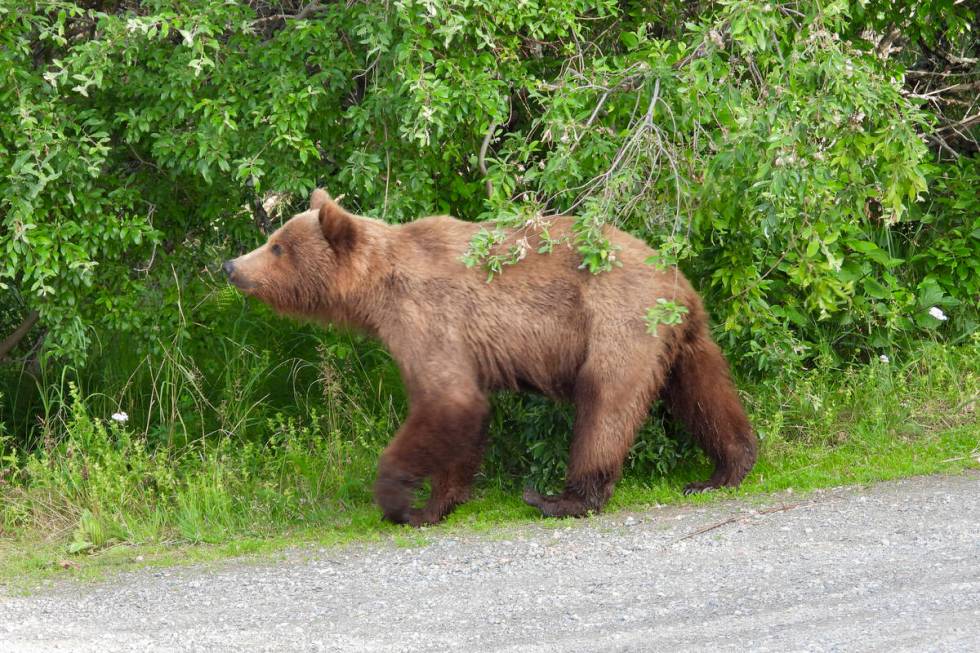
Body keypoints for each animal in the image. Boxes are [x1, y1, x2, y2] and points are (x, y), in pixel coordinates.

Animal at [224, 188, 756, 524]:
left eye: (277, 247)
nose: (232, 265)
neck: (375, 291)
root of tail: (673, 279)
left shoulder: (427, 317)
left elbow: (448, 401)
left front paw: (399, 500)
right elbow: (464, 416)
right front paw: (439, 503)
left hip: (617, 322)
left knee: (605, 403)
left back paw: (561, 498)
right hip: (682, 335)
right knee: (703, 392)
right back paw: (724, 469)